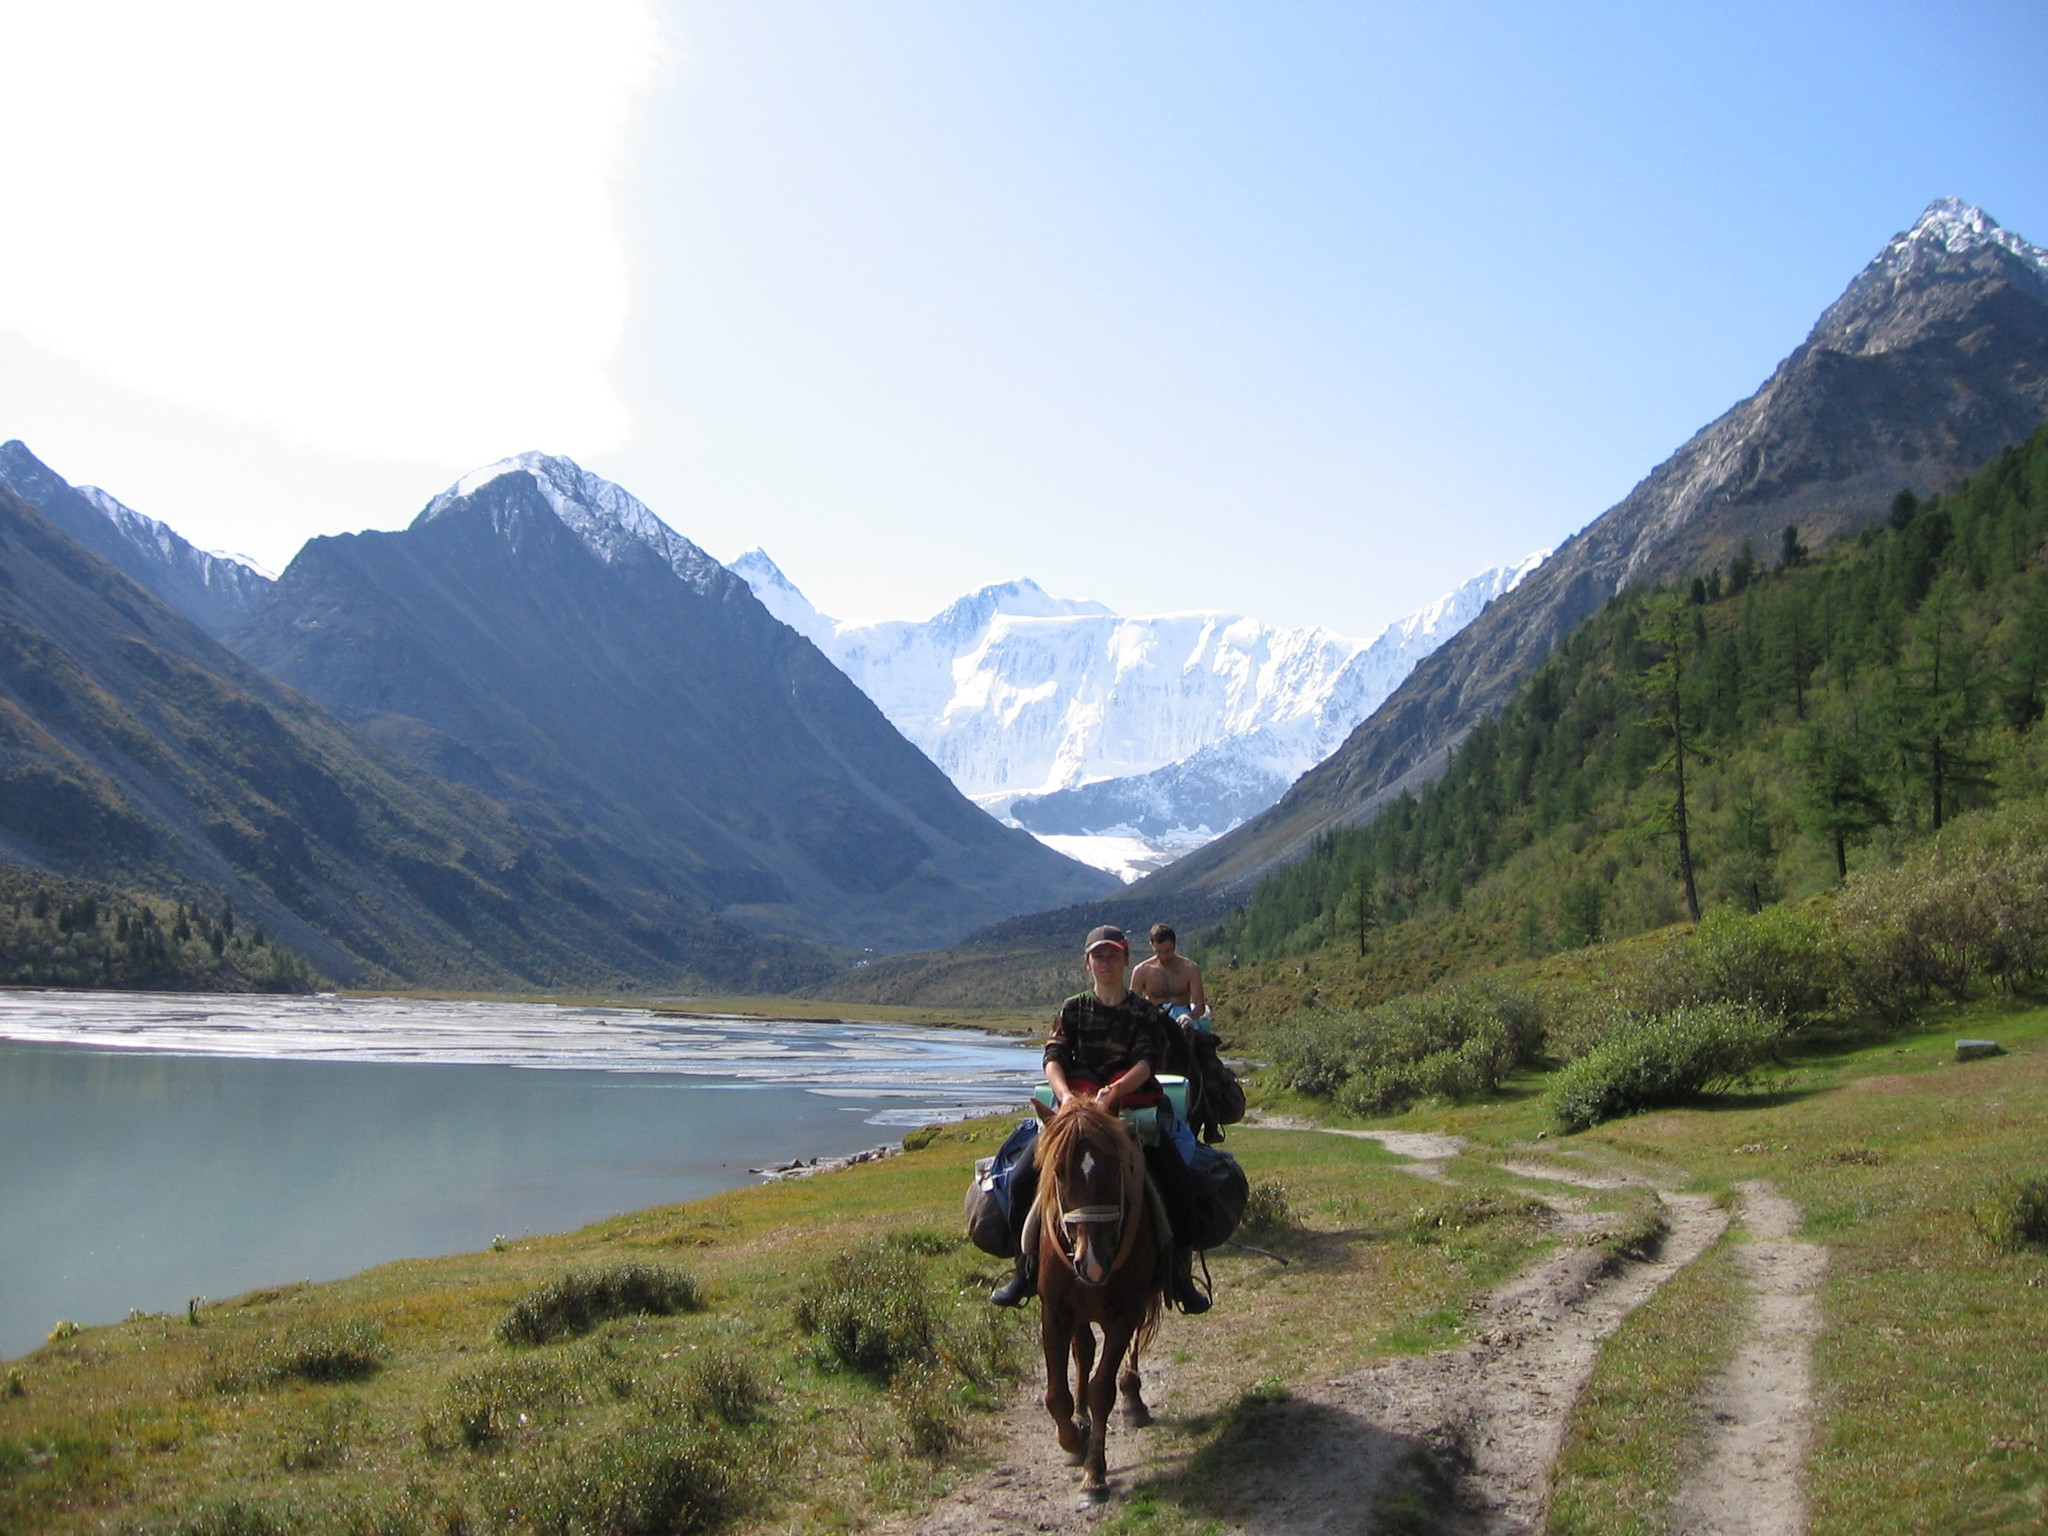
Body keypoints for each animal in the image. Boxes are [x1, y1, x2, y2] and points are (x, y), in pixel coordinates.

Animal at [1032, 1097, 1163, 1499]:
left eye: (1115, 1167)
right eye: (1059, 1172)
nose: (1091, 1262)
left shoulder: (1125, 1311)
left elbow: (1101, 1390)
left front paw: (1095, 1471)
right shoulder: (1055, 1312)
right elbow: (1056, 1394)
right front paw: (1073, 1439)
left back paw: (1133, 1401)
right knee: (1084, 1351)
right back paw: (1080, 1418)